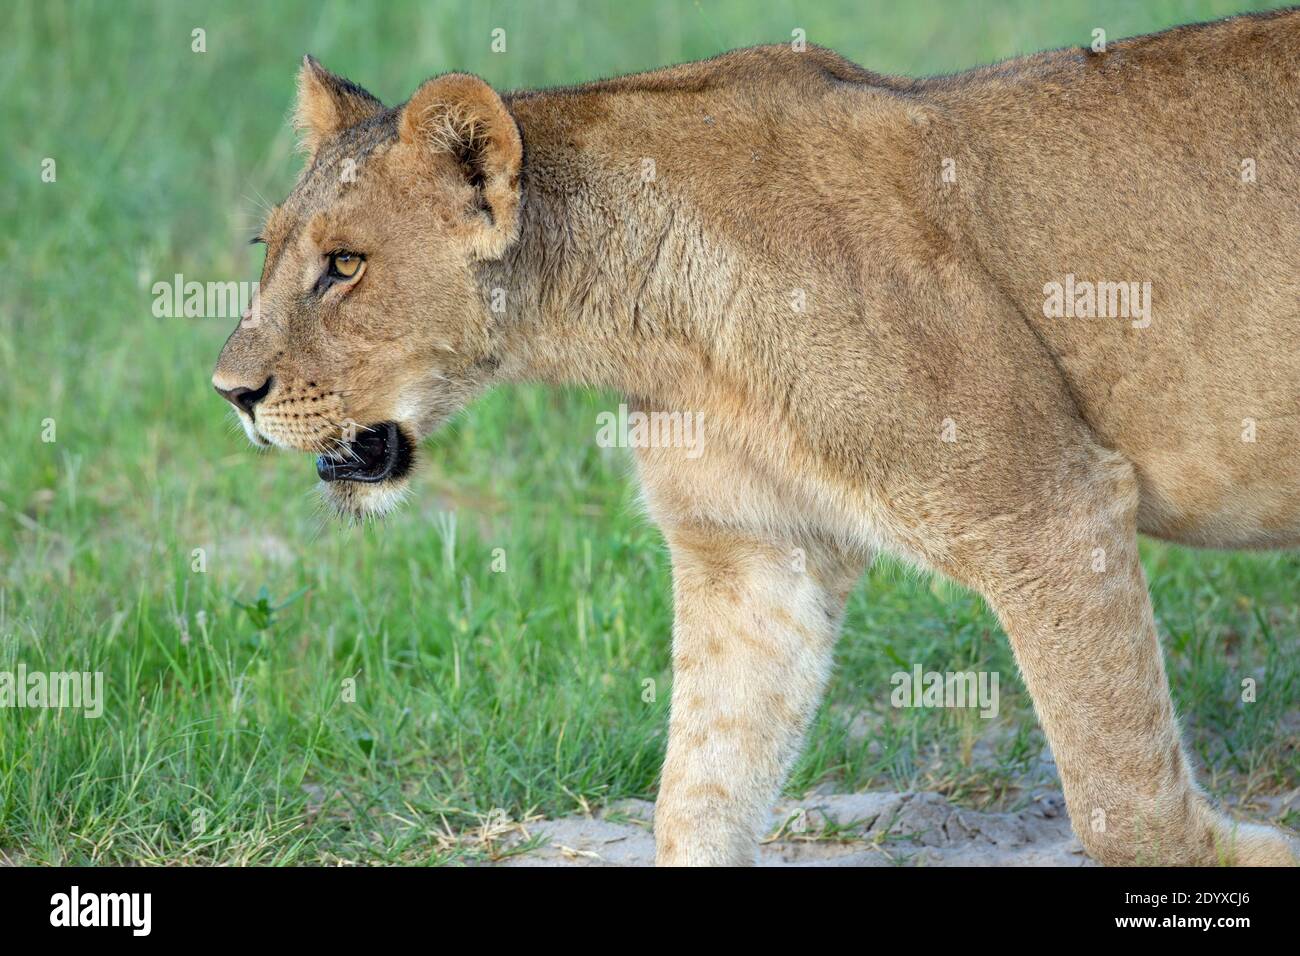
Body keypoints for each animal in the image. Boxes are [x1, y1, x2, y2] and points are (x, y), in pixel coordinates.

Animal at [213, 9, 1300, 865]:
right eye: (269, 251)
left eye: (345, 265)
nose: (230, 392)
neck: (649, 326)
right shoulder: (751, 553)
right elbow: (698, 792)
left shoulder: (1046, 505)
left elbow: (1122, 802)